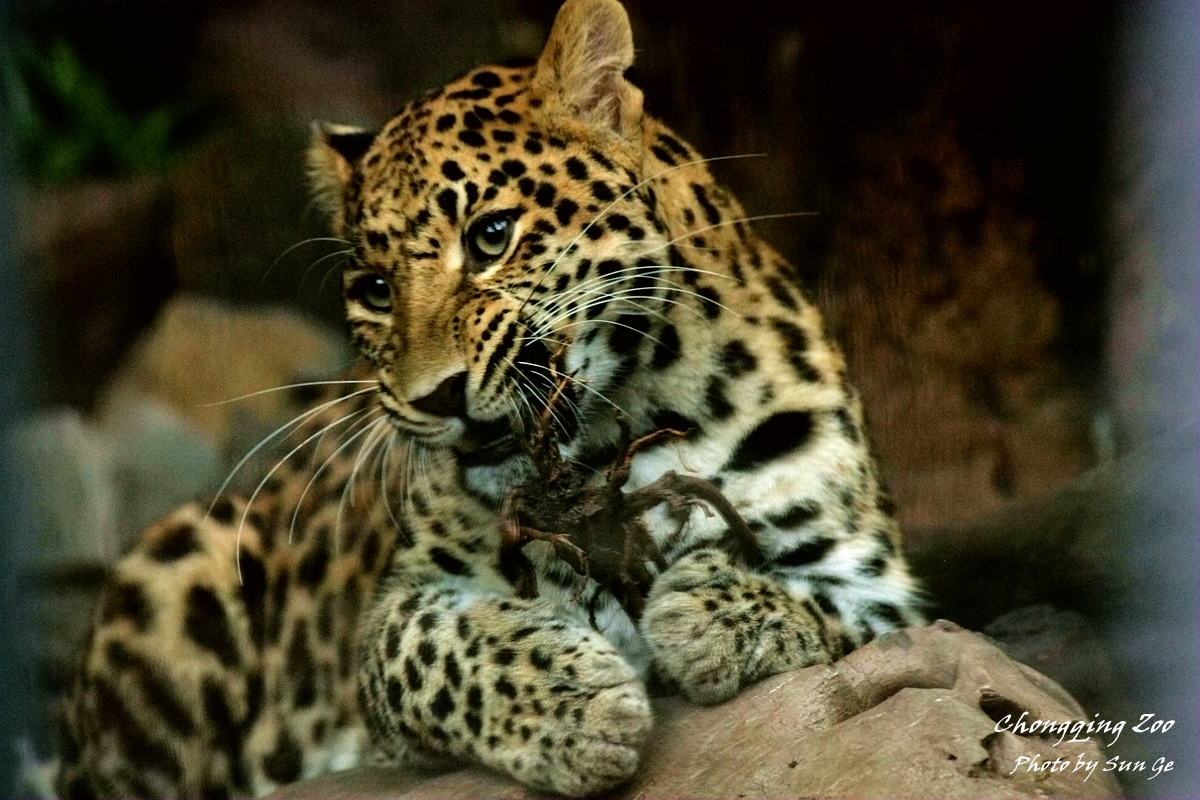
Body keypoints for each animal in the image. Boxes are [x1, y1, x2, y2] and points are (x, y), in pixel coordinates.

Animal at [55, 0, 923, 796]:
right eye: (375, 290)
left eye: (491, 236)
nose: (434, 396)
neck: (616, 435)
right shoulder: (390, 617)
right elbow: (435, 645)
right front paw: (575, 701)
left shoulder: (877, 583)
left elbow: (827, 604)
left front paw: (707, 611)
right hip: (180, 561)